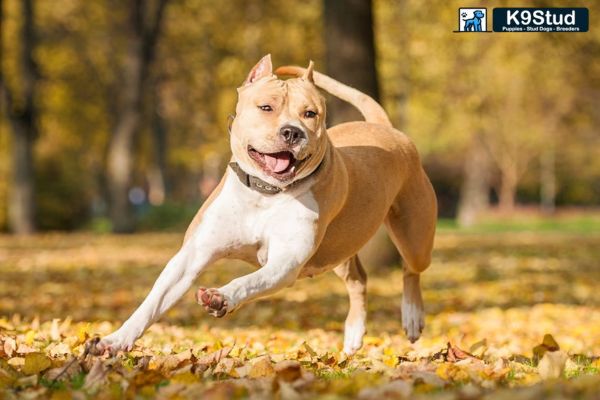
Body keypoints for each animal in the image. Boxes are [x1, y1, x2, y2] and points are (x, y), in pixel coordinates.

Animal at [97, 54, 436, 354]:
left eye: (310, 114)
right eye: (266, 107)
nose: (291, 132)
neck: (265, 193)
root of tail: (385, 127)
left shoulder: (285, 261)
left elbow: (249, 281)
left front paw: (222, 297)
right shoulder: (192, 256)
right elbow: (152, 302)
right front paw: (116, 340)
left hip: (414, 237)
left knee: (411, 270)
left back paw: (412, 316)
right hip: (338, 247)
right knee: (358, 279)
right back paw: (354, 333)